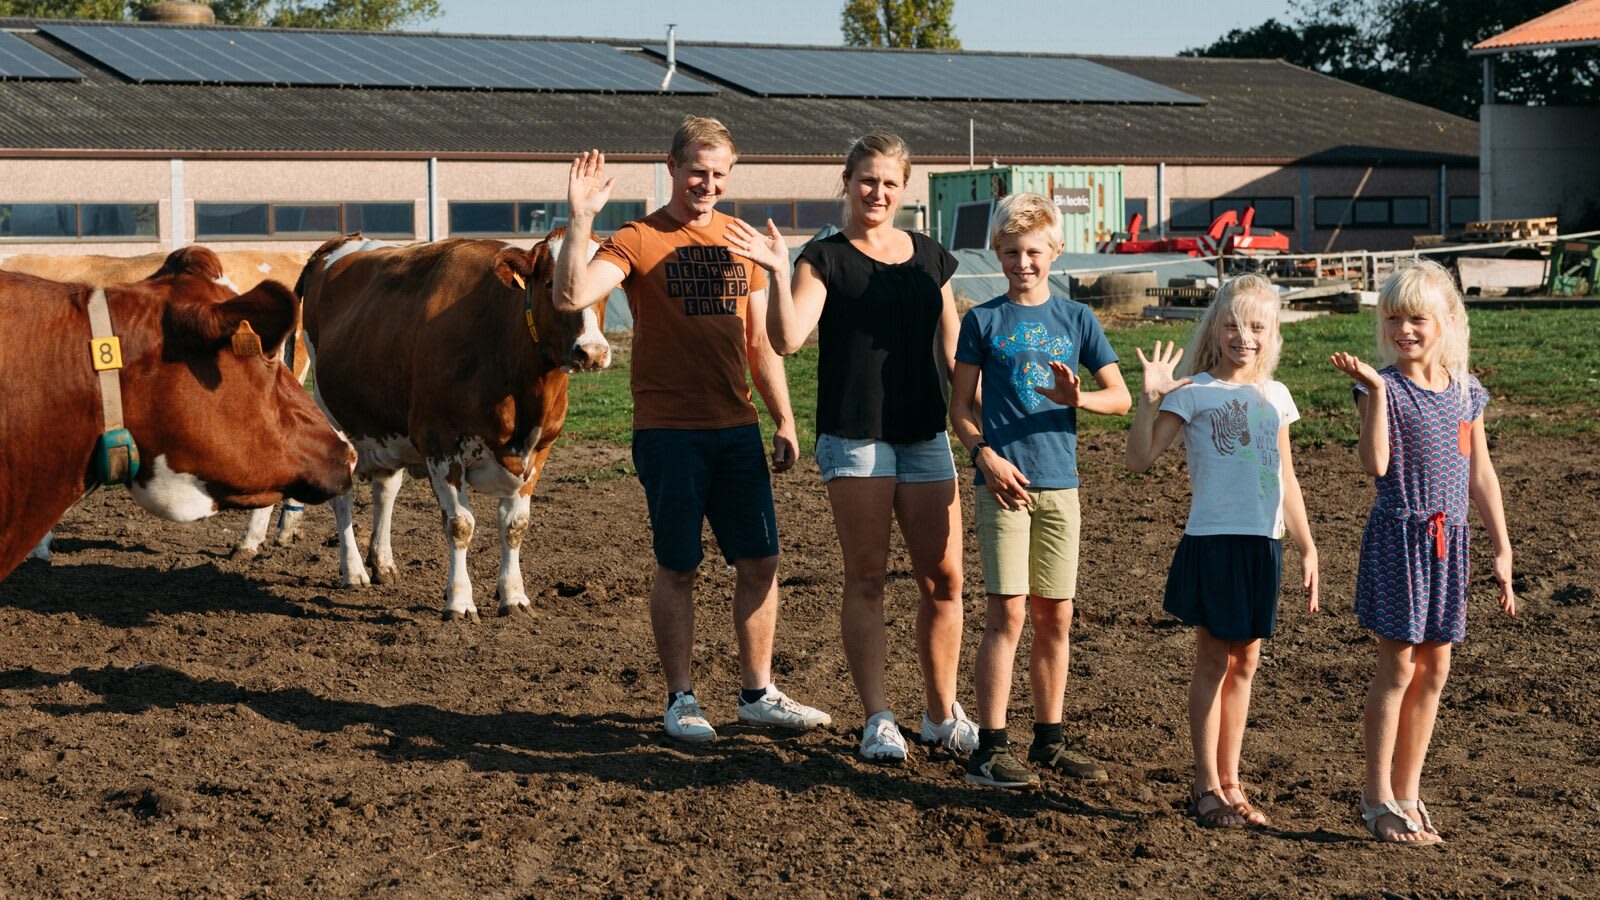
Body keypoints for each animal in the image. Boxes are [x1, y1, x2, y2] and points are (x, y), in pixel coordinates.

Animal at [299, 230, 604, 621]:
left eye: (603, 287)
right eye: (552, 283)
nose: (592, 352)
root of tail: (343, 241)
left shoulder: (539, 451)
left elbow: (515, 527)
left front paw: (514, 596)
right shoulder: (440, 443)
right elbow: (460, 524)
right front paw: (459, 601)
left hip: (385, 431)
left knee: (385, 490)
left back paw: (382, 563)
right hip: (334, 419)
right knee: (342, 497)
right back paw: (352, 571)